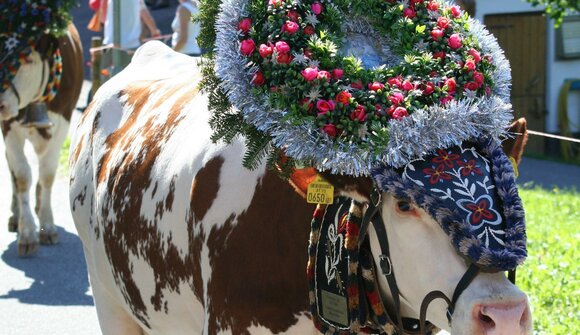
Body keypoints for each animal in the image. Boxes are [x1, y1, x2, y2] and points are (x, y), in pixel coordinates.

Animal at [0, 24, 84, 258]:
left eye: (28, 59)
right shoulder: (8, 127)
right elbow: (21, 175)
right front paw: (28, 232)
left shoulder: (62, 122)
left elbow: (47, 175)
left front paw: (47, 225)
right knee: (11, 167)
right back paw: (16, 215)